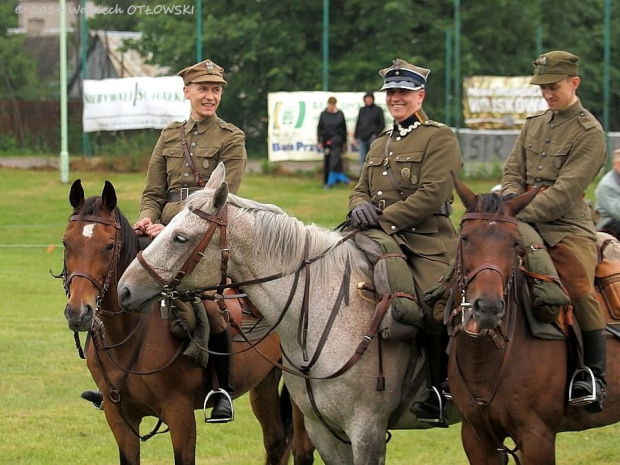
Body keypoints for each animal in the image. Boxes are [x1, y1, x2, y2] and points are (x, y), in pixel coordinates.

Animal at [59, 179, 314, 464]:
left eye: (109, 246)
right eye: (66, 243)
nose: (78, 312)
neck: (128, 336)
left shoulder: (179, 413)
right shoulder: (119, 417)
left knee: (301, 448)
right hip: (265, 381)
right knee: (276, 441)